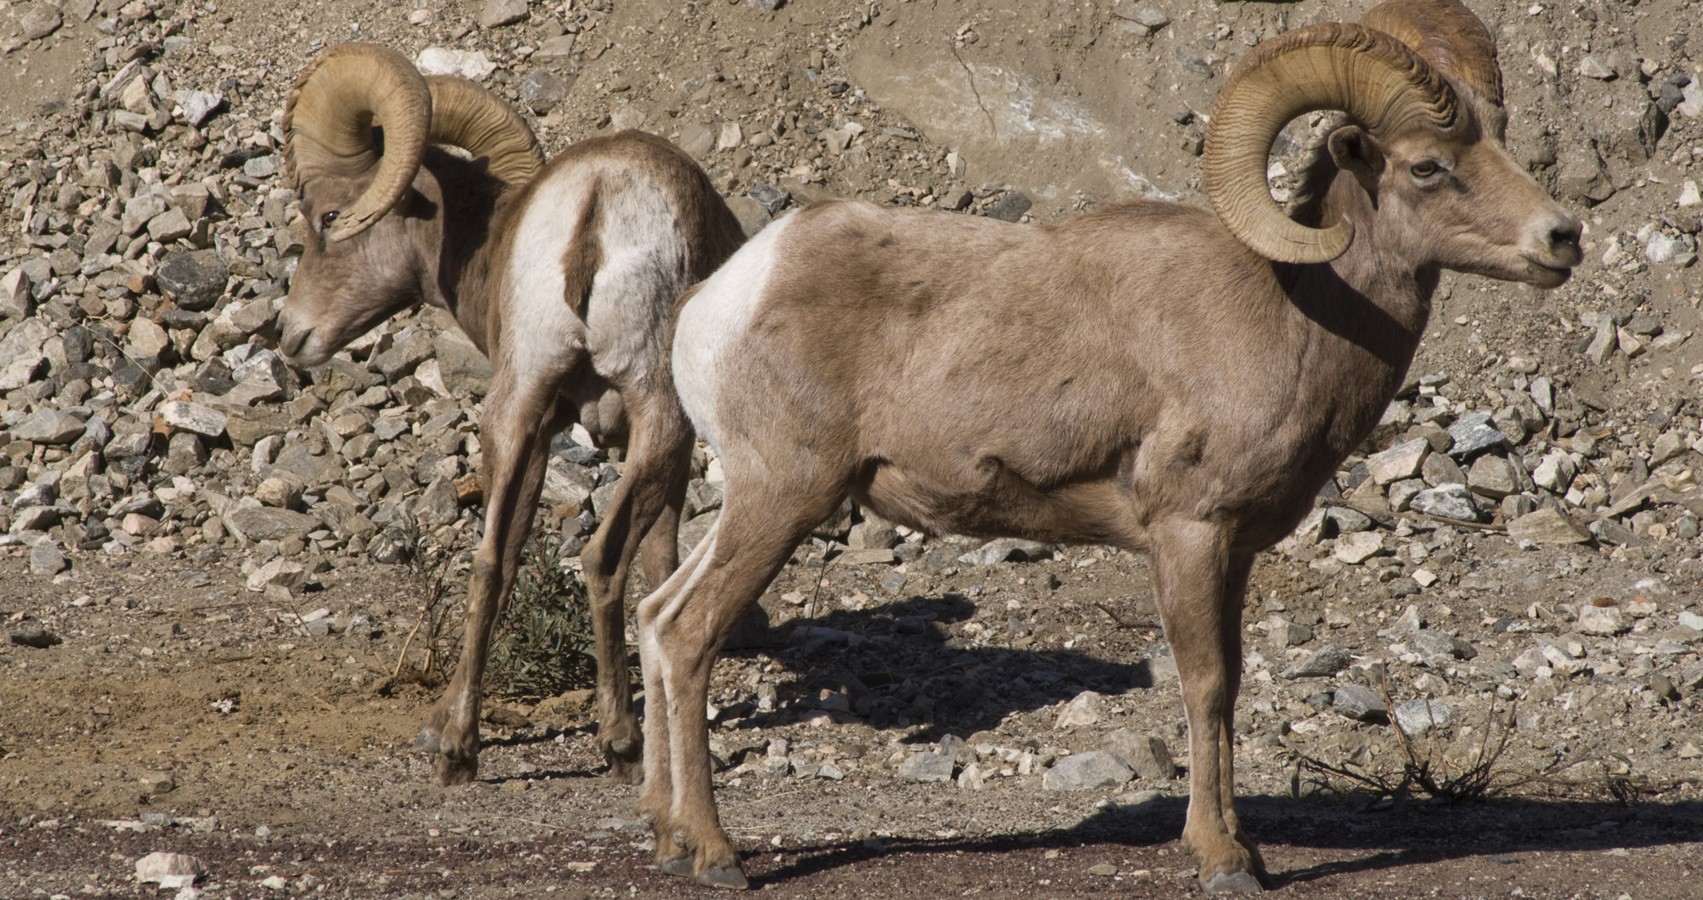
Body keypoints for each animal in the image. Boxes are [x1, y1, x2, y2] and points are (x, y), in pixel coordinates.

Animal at [279, 45, 745, 784]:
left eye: (328, 216)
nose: (288, 333)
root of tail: (595, 204)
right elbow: (659, 563)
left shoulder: (544, 426)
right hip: (656, 418)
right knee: (601, 557)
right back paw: (620, 743)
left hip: (519, 404)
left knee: (491, 560)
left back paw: (458, 749)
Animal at [633, 0, 1573, 886]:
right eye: (1426, 166)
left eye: (1498, 140)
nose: (1561, 239)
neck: (1293, 314)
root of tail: (717, 301)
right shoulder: (1187, 533)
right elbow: (1205, 682)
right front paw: (1221, 860)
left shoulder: (1233, 551)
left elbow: (1231, 680)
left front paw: (1244, 849)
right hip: (783, 496)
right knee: (688, 633)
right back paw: (715, 855)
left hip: (753, 501)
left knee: (653, 616)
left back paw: (671, 842)